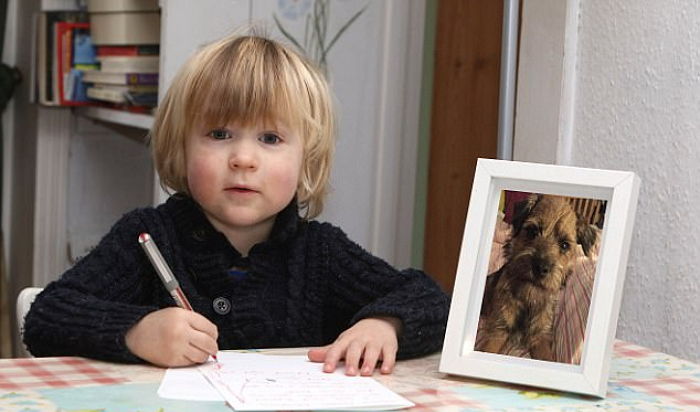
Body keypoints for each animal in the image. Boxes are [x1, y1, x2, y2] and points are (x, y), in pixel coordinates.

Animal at [478, 193, 600, 360]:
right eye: (532, 231)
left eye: (564, 245)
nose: (540, 268)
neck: (529, 297)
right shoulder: (498, 330)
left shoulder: (541, 336)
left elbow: (547, 356)